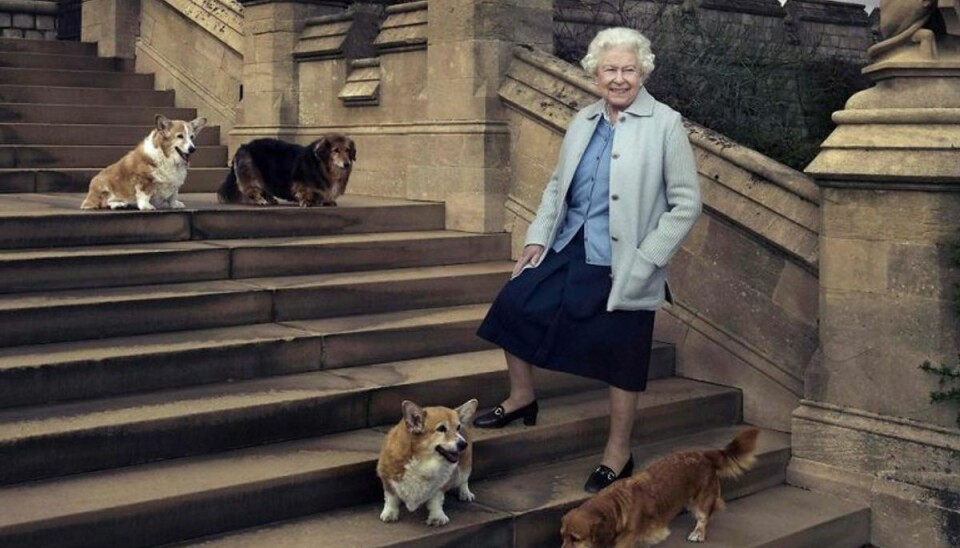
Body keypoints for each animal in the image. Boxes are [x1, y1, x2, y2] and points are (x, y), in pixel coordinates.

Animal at [218, 134, 356, 208]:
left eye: (348, 150)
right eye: (335, 150)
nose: (347, 164)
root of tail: (243, 147)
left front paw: (327, 201)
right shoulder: (301, 184)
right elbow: (306, 193)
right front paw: (307, 202)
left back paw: (270, 199)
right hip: (252, 176)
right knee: (251, 190)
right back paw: (260, 200)